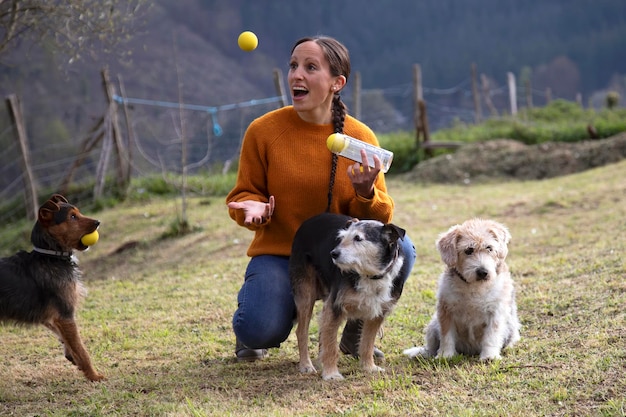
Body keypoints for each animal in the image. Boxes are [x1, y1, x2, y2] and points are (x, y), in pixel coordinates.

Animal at [0, 194, 103, 380]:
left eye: (78, 213)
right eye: (72, 217)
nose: (98, 222)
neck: (51, 256)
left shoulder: (51, 317)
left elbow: (65, 338)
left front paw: (72, 357)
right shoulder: (65, 314)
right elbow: (81, 348)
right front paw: (94, 376)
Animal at [288, 213, 404, 378]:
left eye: (358, 238)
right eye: (342, 238)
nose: (333, 254)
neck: (370, 275)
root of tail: (308, 221)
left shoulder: (378, 312)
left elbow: (367, 342)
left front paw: (369, 367)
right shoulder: (335, 306)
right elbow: (331, 345)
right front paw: (331, 374)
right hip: (305, 292)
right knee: (302, 331)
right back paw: (306, 365)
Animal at [402, 218, 520, 360]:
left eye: (489, 248)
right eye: (469, 250)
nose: (483, 272)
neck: (473, 286)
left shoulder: (496, 311)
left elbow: (492, 335)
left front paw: (489, 356)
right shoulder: (446, 310)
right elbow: (446, 335)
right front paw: (445, 355)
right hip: (433, 326)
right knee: (430, 348)